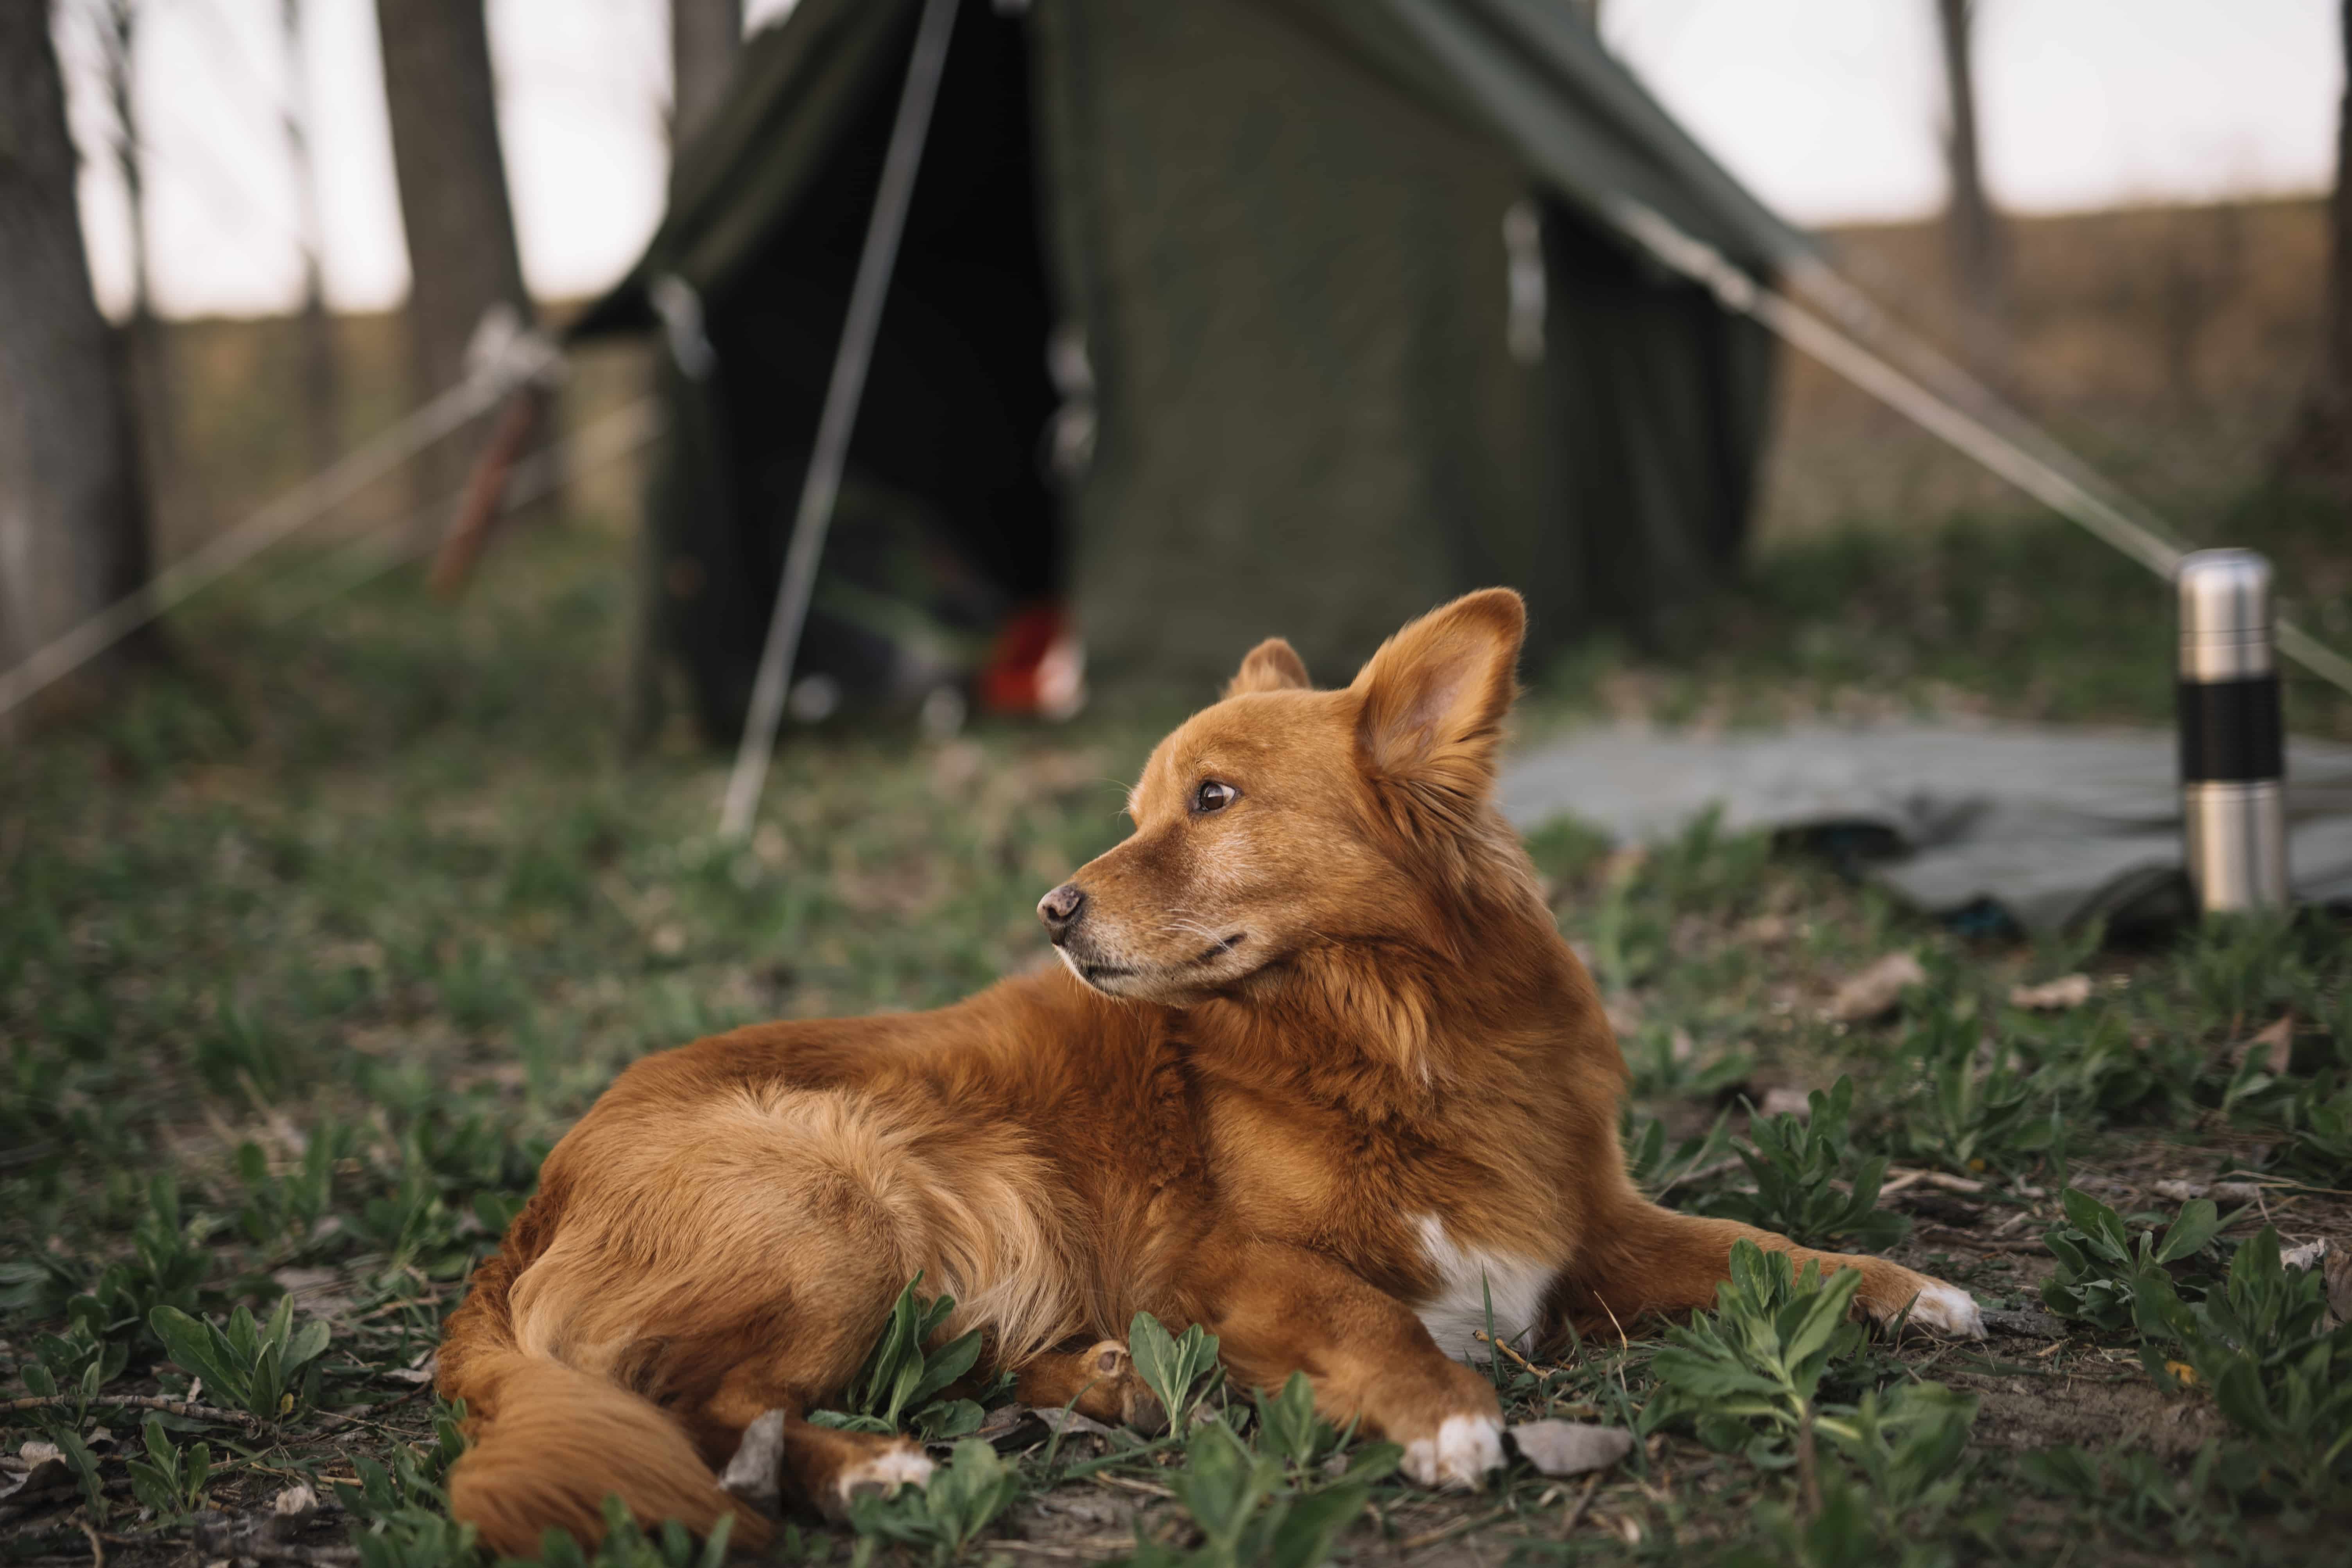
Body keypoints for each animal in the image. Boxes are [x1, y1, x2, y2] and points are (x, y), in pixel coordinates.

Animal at [432, 588, 1976, 1561]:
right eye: (1138, 809)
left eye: (1212, 799)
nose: (1051, 910)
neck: (1384, 1028)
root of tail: (538, 1193)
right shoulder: (1221, 1260)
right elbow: (1368, 1314)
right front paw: (1449, 1412)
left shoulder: (1584, 1223)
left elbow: (1758, 1243)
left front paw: (1910, 1286)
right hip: (862, 1195)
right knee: (695, 1411)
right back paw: (877, 1465)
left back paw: (1102, 1382)